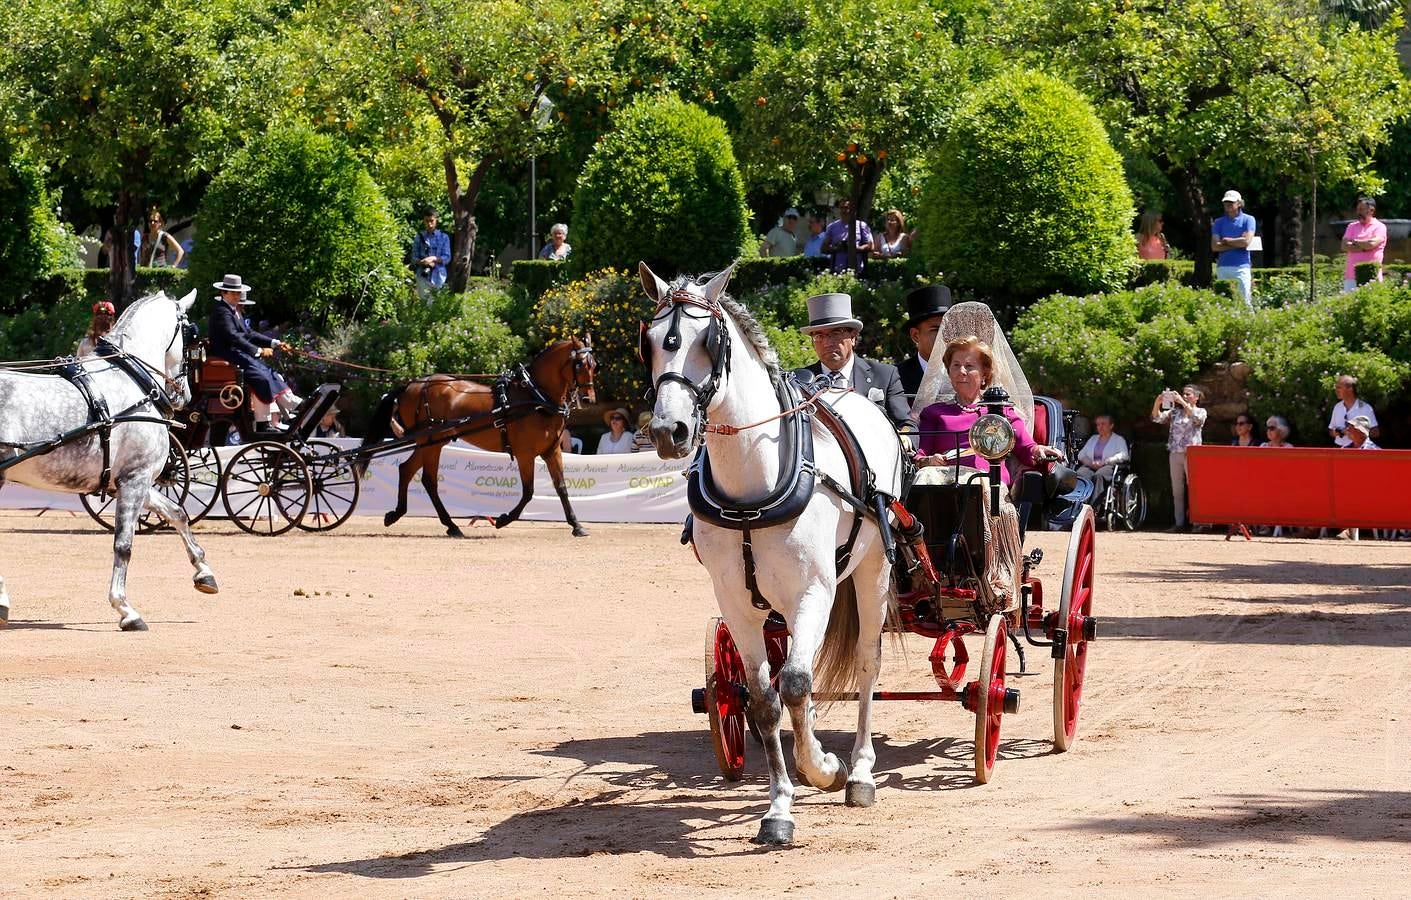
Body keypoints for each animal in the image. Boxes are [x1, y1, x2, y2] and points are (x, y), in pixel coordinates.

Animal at [0, 293, 217, 631]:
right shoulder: (135, 480)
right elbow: (124, 545)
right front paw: (125, 609)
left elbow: (178, 513)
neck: (132, 380)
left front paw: (204, 571)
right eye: (193, 340)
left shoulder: (130, 480)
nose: (185, 396)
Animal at [361, 337, 598, 536]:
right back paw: (450, 525)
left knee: (407, 470)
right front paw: (503, 520)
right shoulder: (525, 454)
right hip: (430, 443)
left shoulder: (552, 451)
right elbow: (528, 491)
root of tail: (411, 386)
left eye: (594, 364)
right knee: (428, 480)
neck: (535, 398)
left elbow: (561, 488)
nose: (588, 399)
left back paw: (400, 514)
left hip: (430, 442)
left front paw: (577, 525)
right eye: (579, 364)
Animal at [643, 262, 903, 846]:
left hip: (872, 571)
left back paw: (859, 771)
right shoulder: (737, 603)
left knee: (866, 664)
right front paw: (779, 805)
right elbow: (765, 698)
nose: (669, 431)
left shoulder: (815, 592)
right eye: (649, 341)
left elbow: (800, 684)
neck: (751, 485)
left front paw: (824, 769)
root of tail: (849, 395)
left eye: (708, 342)